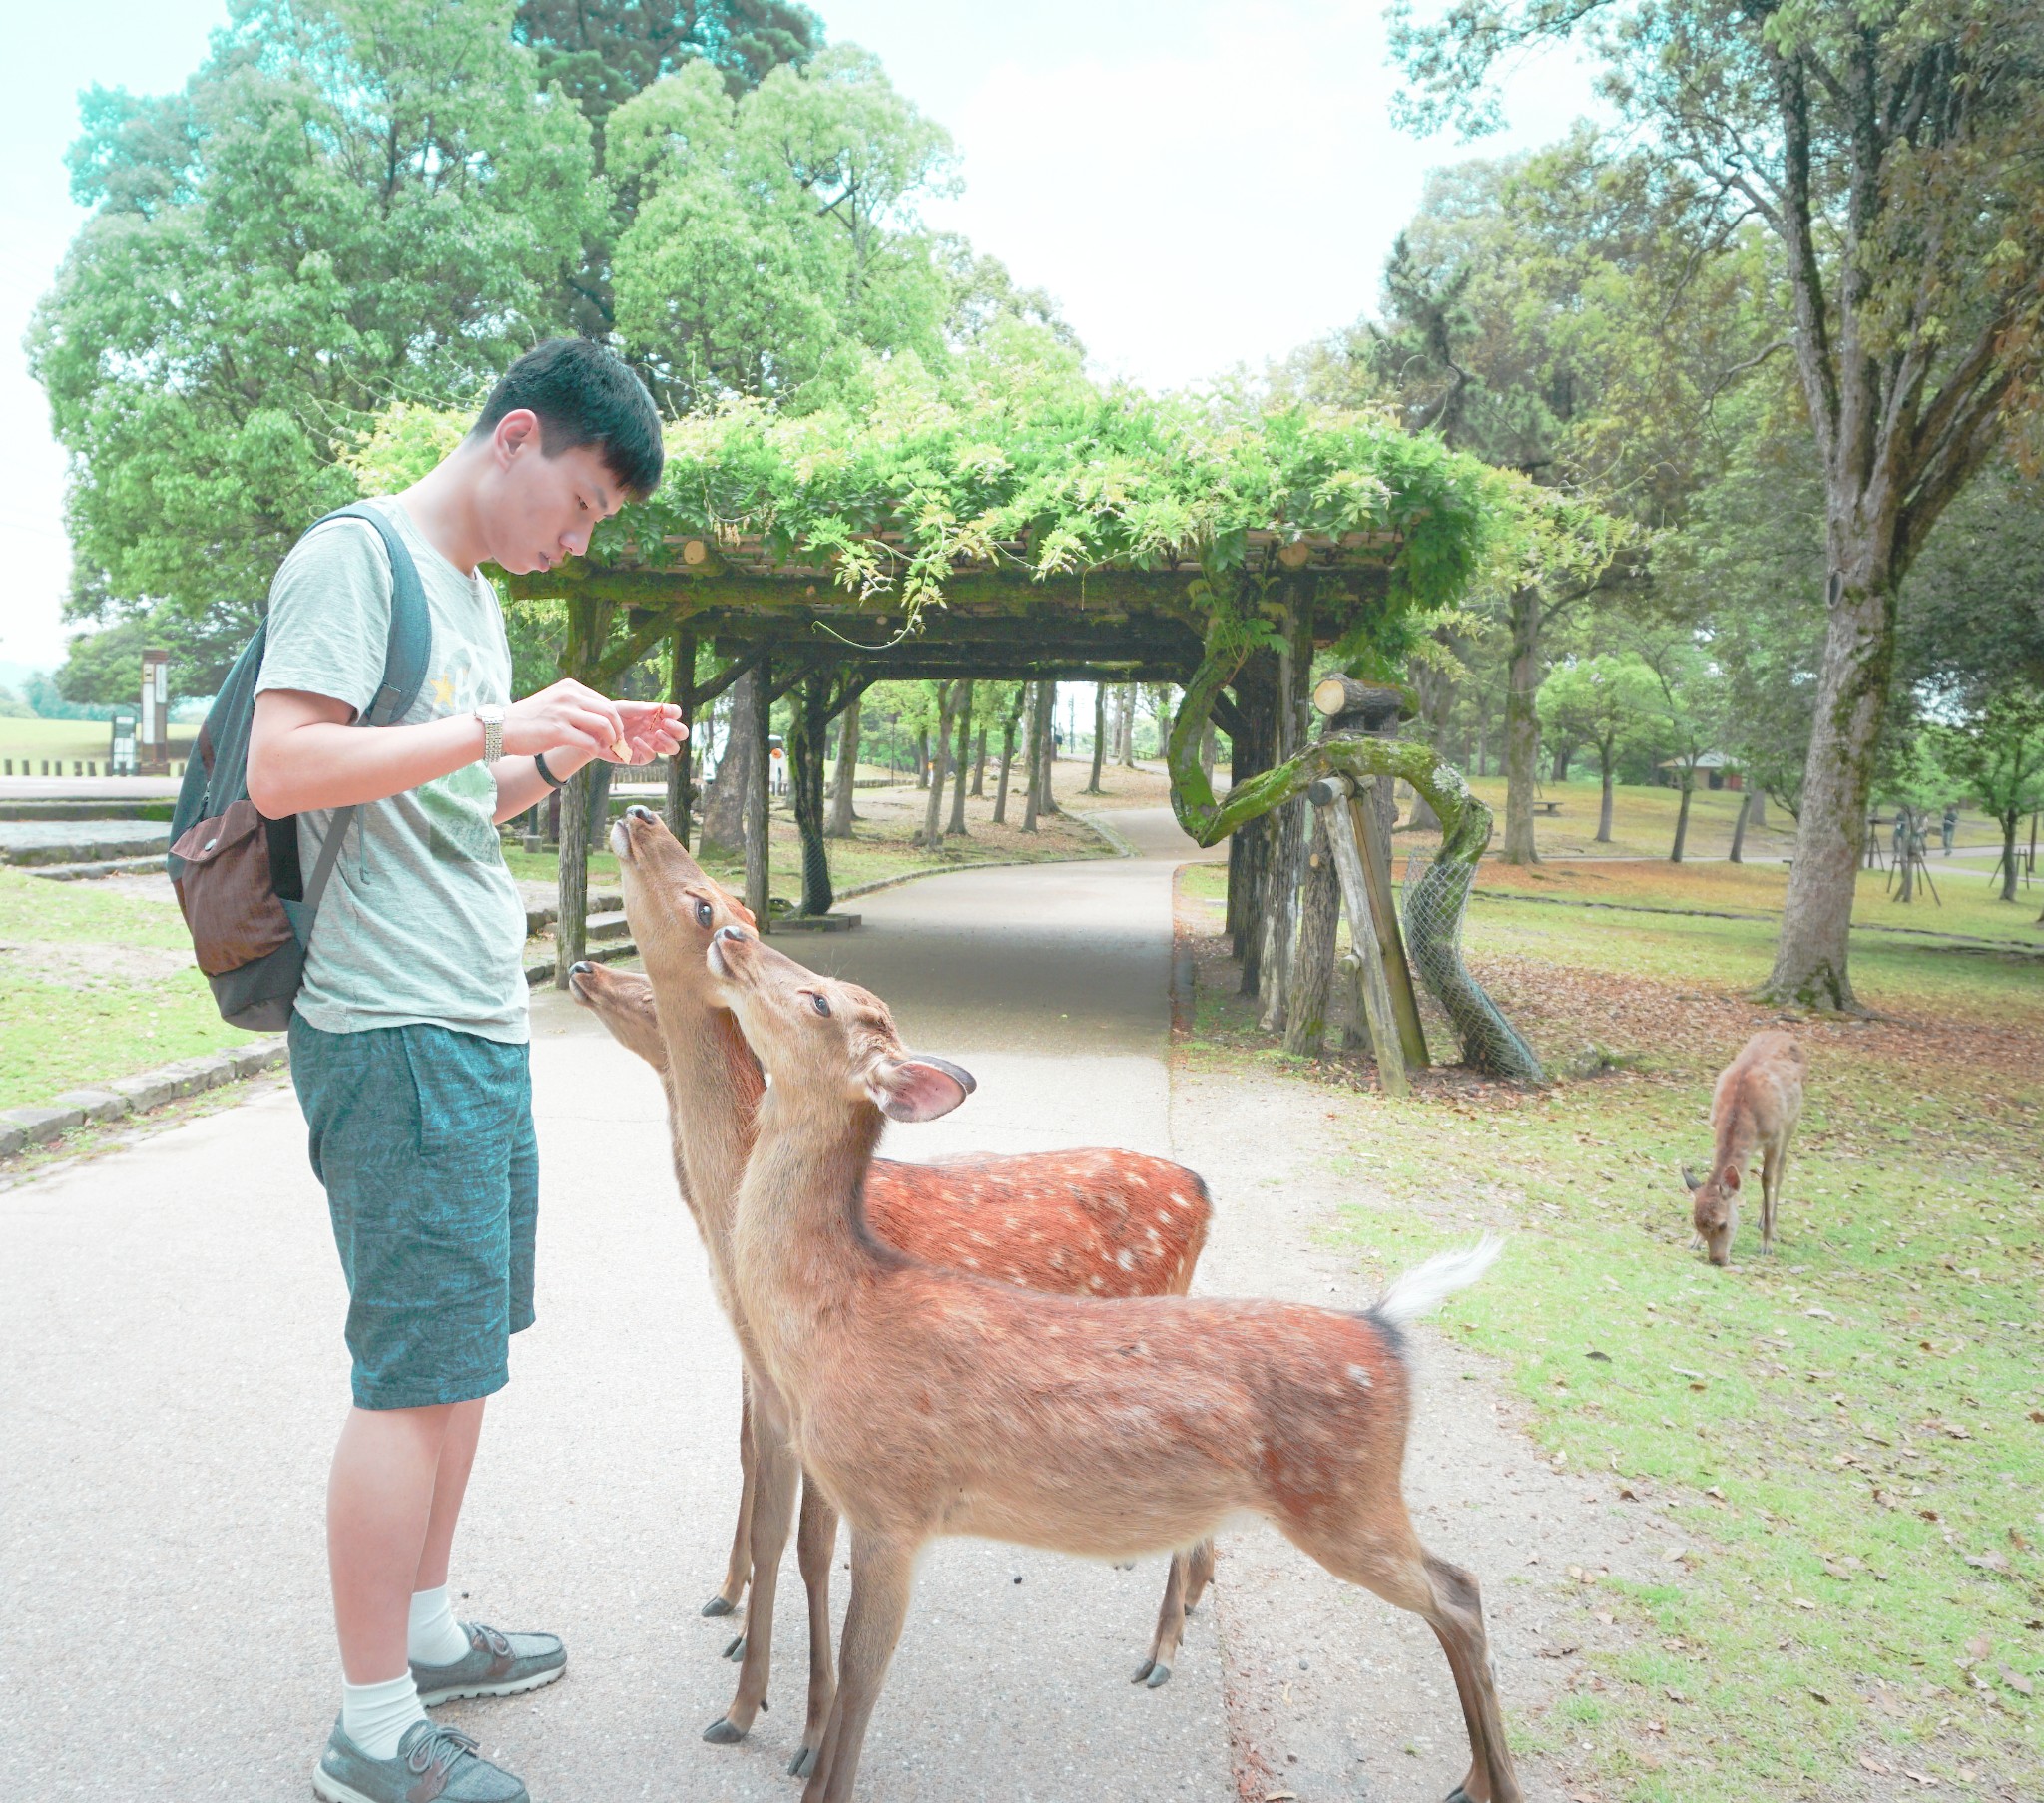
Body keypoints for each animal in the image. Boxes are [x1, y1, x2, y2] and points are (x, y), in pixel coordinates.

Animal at [592, 809, 1218, 1774]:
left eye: (703, 901)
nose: (641, 813)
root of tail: (1201, 1187)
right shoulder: (766, 1376)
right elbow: (767, 1510)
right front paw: (740, 1685)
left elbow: (811, 1545)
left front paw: (804, 1725)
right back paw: (1183, 1610)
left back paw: (1161, 1650)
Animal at [703, 928, 1520, 1798]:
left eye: (822, 997)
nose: (731, 931)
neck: (835, 1321)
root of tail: (1384, 1328)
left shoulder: (894, 1502)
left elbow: (862, 1681)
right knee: (1457, 1590)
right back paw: (1471, 1777)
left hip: (1345, 1498)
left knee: (1459, 1591)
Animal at [1684, 1026, 1814, 1267]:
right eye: (1696, 1223)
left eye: (1723, 1224)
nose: (1717, 1259)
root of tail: (1785, 1033)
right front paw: (1694, 1242)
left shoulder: (1774, 1135)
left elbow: (1766, 1179)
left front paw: (1766, 1244)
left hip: (1792, 1120)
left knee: (1780, 1169)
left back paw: (1770, 1226)